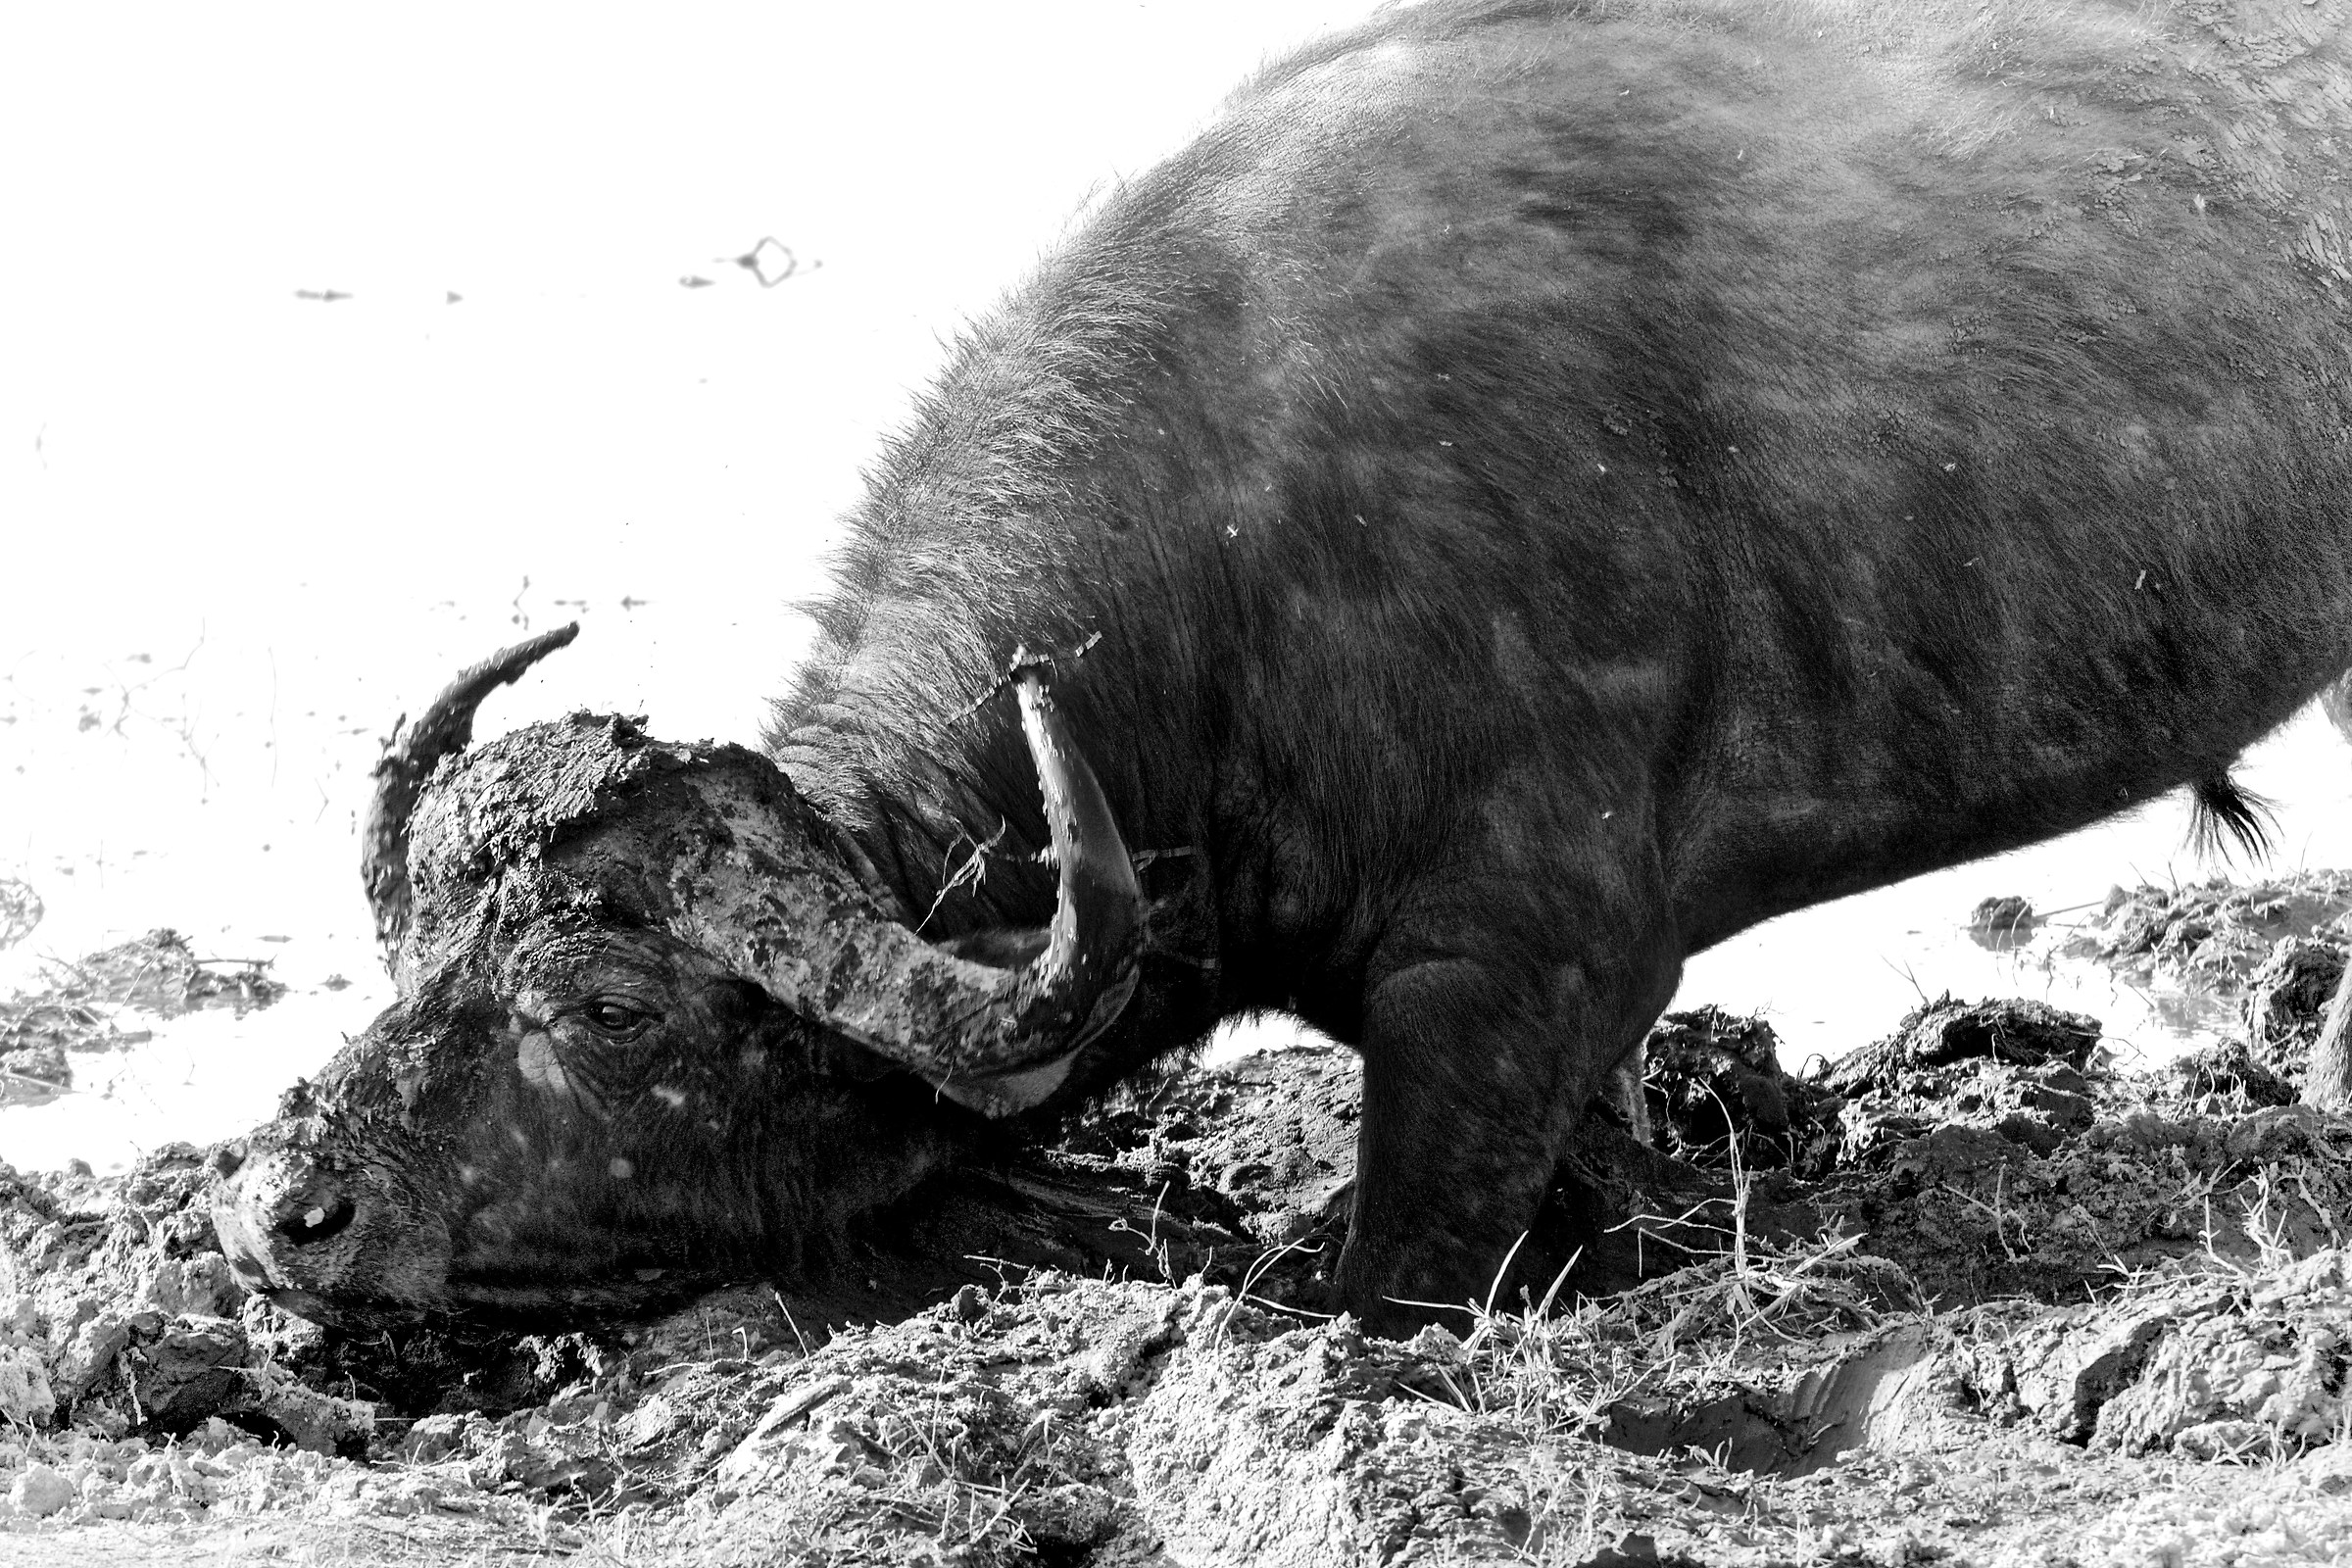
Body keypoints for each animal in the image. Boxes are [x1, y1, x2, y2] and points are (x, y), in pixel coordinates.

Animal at [218, 0, 2352, 1335]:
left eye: (610, 1009)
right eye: (416, 959)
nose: (285, 1207)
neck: (1257, 578)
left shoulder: (1506, 985)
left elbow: (1385, 1274)